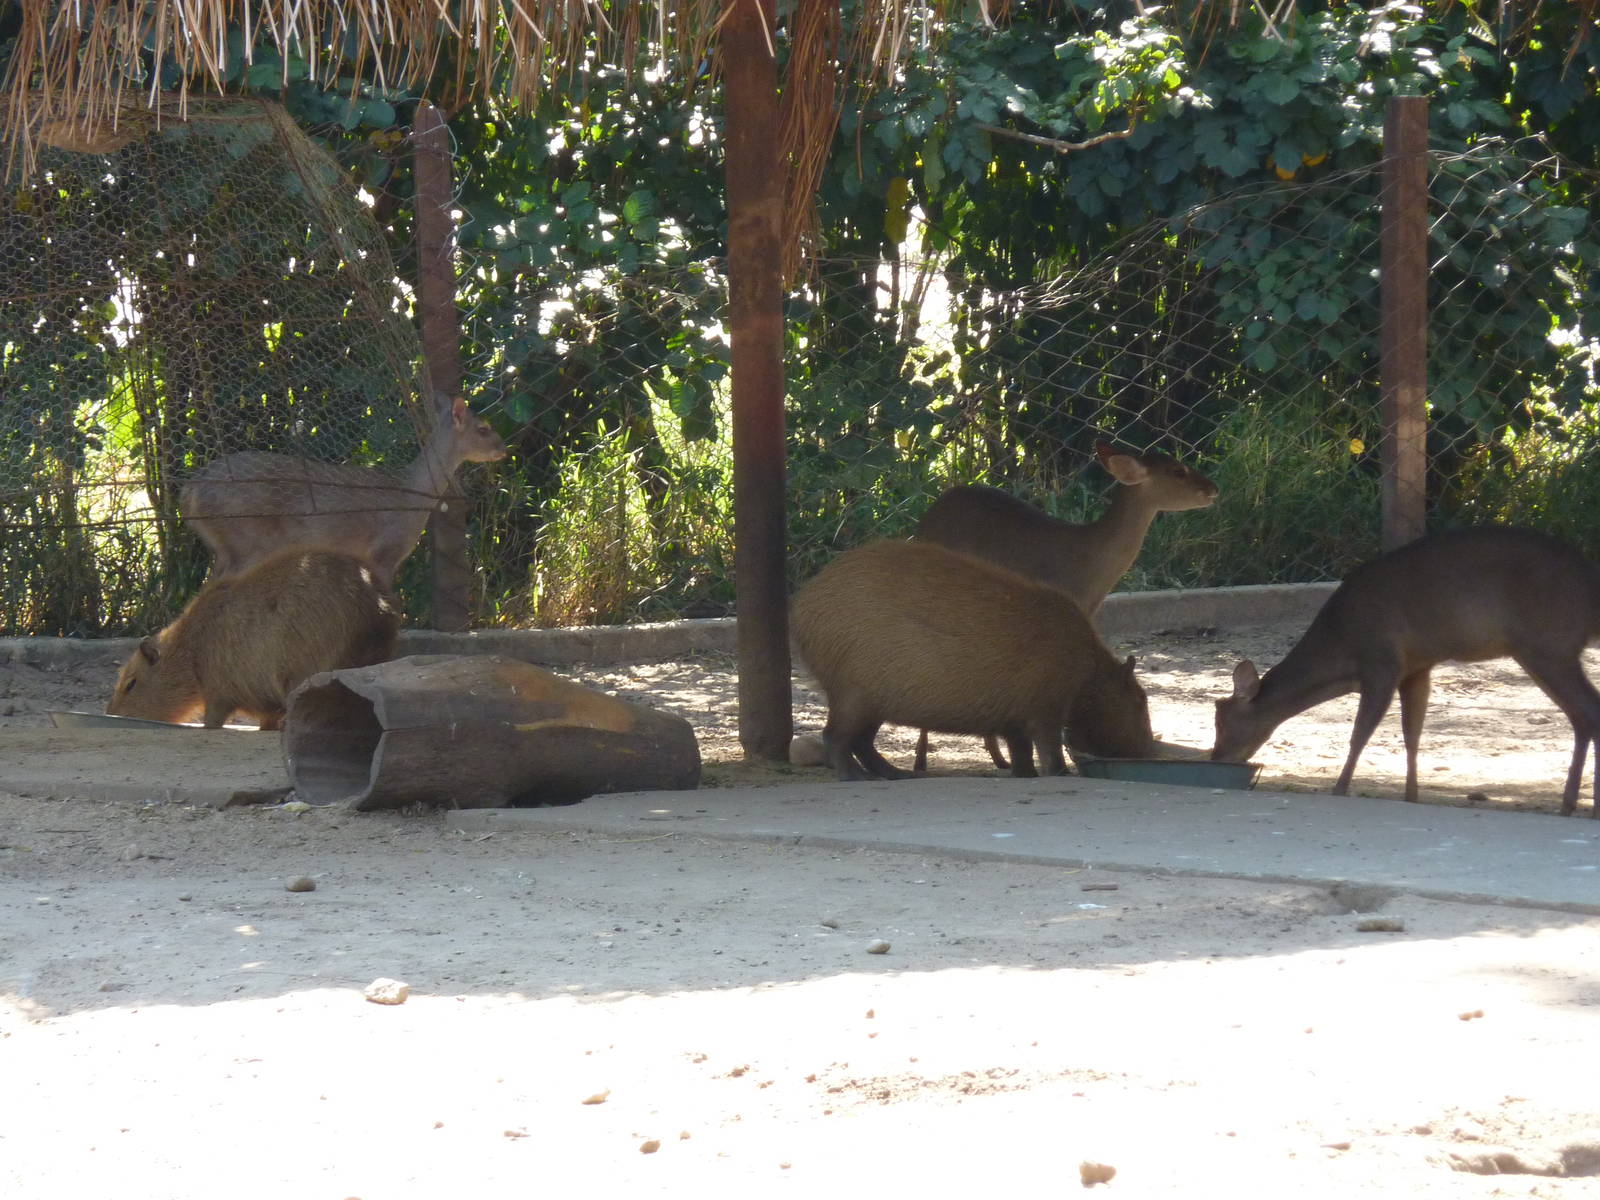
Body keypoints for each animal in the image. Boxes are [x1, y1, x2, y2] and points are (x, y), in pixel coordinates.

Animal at [181, 395, 507, 587]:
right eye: (483, 428)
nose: (503, 448)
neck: (413, 494)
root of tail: (191, 490)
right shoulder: (385, 549)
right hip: (247, 538)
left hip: (226, 546)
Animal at [911, 442, 1218, 772]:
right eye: (1178, 471)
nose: (1213, 489)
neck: (1089, 565)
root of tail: (925, 522)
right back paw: (921, 761)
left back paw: (996, 758)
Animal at [1210, 526, 1600, 816]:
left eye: (1222, 722)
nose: (1217, 758)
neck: (1341, 653)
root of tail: (1589, 588)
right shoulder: (1416, 667)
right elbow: (1413, 734)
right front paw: (1411, 796)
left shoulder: (1382, 661)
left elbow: (1360, 734)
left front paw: (1339, 789)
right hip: (1546, 649)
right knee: (1581, 715)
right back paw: (1568, 804)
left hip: (1548, 643)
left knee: (1588, 709)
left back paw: (1587, 808)